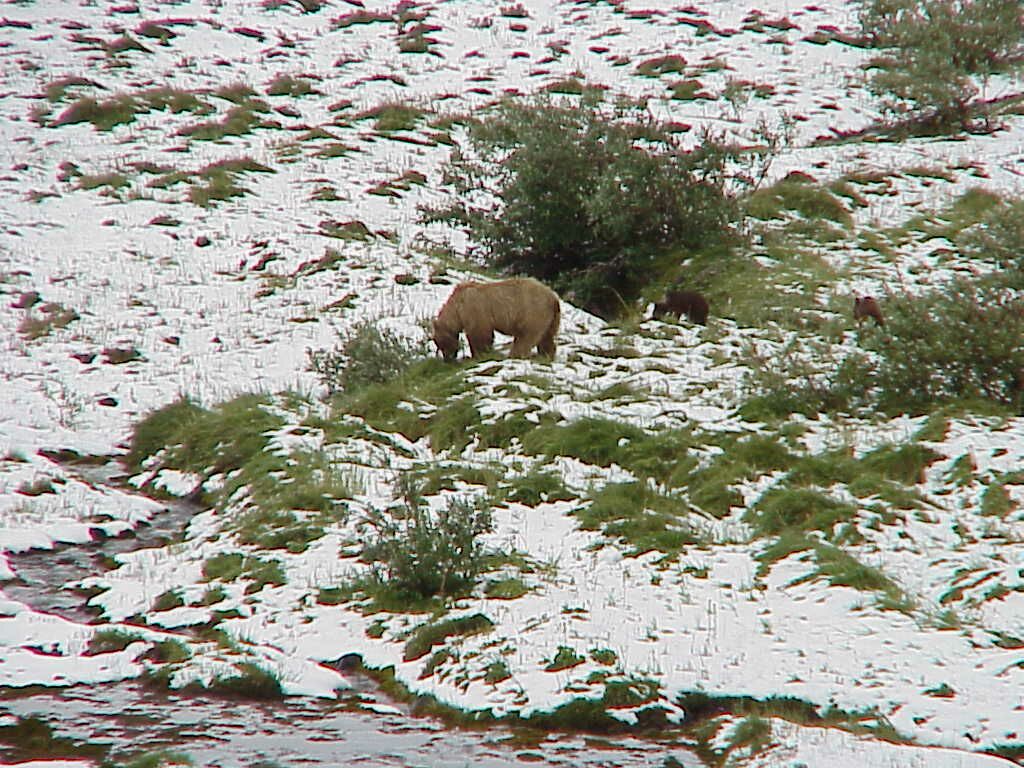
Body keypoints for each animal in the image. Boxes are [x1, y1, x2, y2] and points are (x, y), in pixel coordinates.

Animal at [430, 278, 565, 362]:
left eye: (440, 343)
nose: (448, 359)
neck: (457, 308)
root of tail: (554, 297)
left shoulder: (476, 310)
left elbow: (480, 334)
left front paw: (479, 354)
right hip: (551, 318)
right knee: (547, 337)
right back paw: (546, 355)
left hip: (532, 312)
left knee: (526, 337)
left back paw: (515, 355)